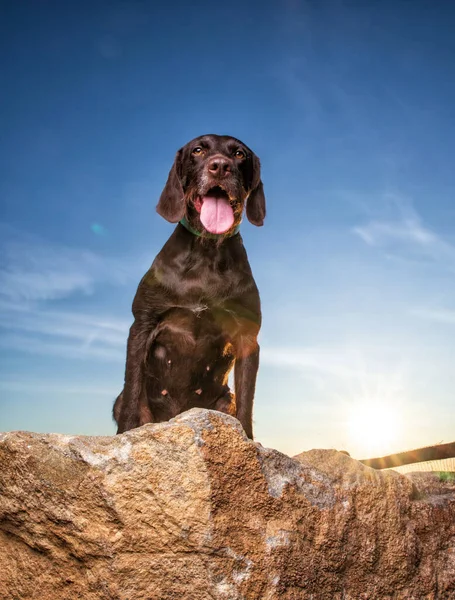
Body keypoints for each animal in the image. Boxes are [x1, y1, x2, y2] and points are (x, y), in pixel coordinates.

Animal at [112, 134, 268, 438]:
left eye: (239, 154)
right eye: (198, 150)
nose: (220, 166)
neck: (206, 250)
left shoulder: (248, 337)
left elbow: (247, 402)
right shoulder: (142, 326)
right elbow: (132, 389)